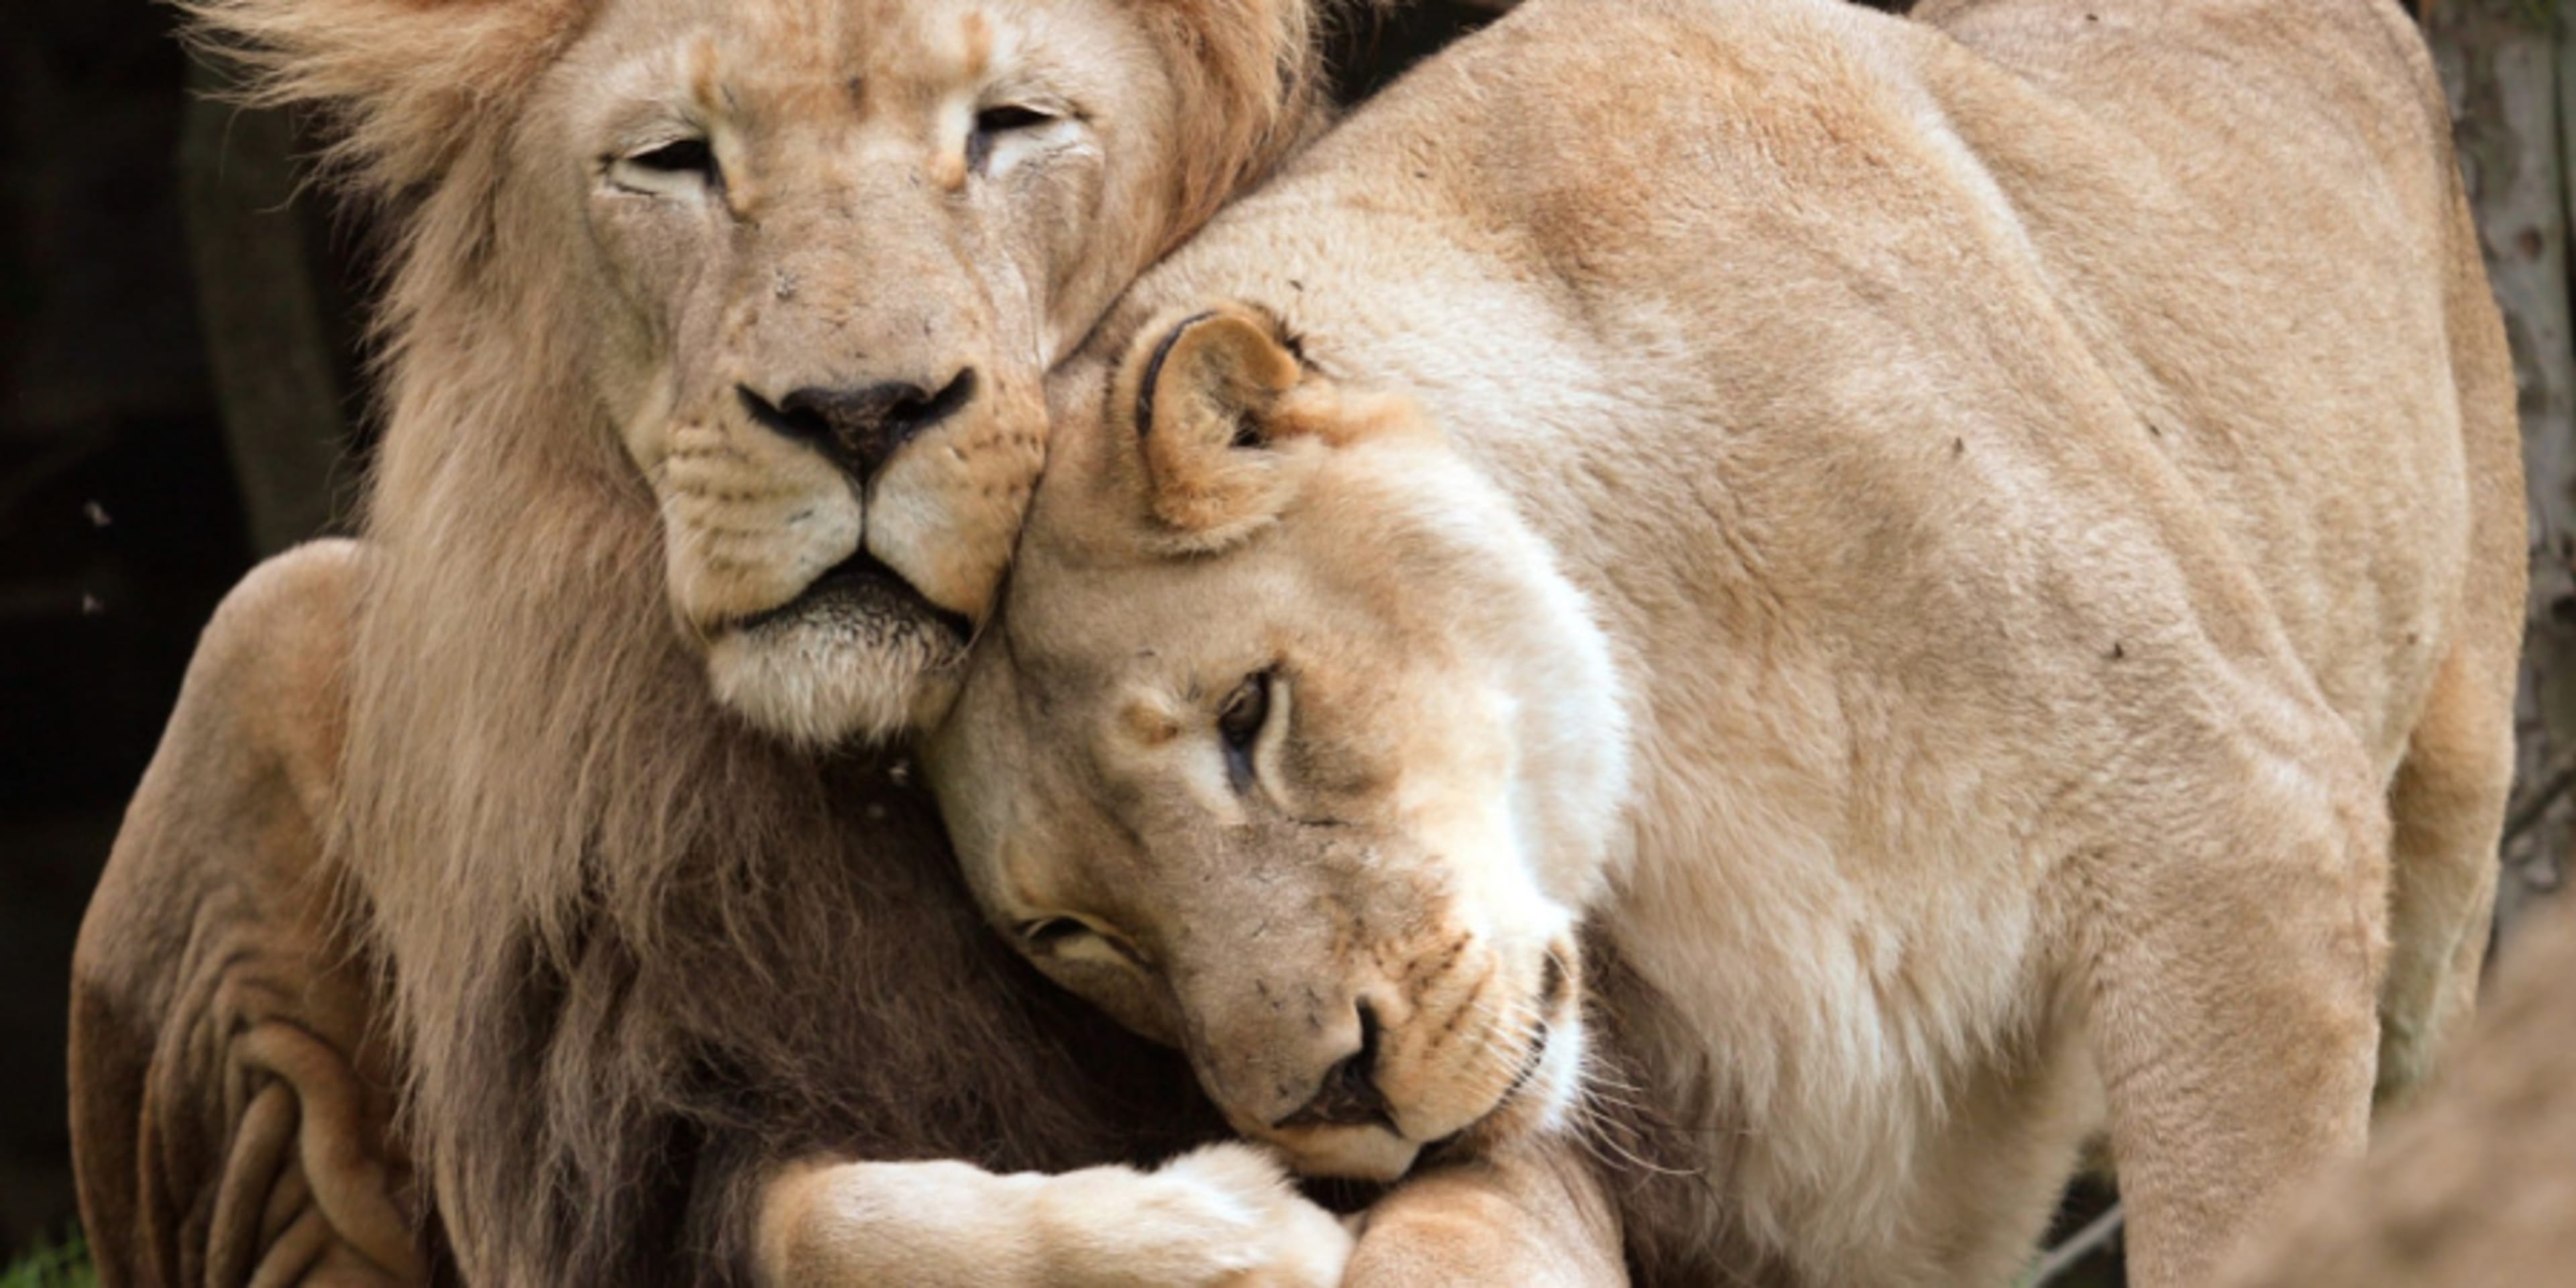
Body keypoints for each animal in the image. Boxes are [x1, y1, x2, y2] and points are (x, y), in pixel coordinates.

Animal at [66, 0, 1594, 1284]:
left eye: (1009, 124)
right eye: (674, 159)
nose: (861, 411)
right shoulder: (644, 1150)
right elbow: (845, 1225)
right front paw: (1217, 1233)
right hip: (265, 620)